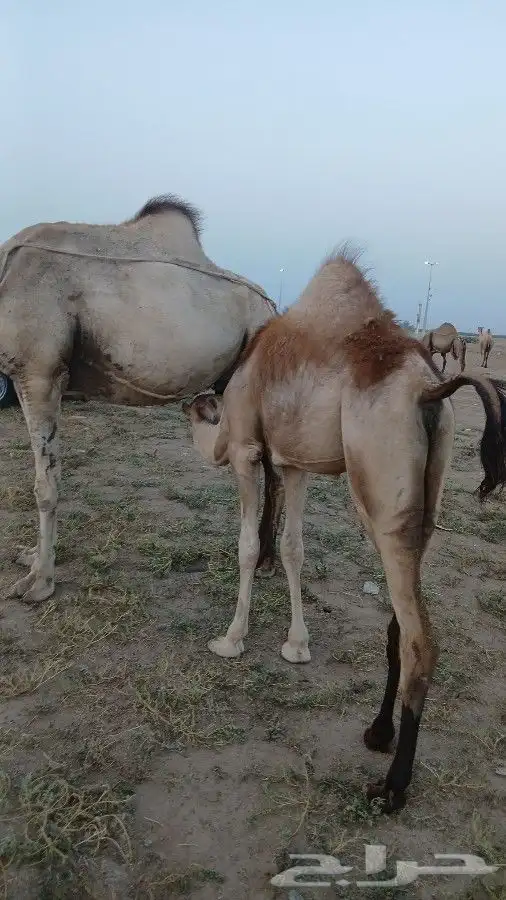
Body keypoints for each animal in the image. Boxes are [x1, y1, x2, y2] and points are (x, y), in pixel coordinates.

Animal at [0, 193, 282, 605]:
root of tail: (275, 309)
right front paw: (30, 557)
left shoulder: (39, 372)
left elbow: (44, 484)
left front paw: (39, 583)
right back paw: (264, 559)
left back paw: (266, 562)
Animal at [182, 248, 506, 814]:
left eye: (202, 408)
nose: (184, 403)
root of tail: (430, 389)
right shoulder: (294, 464)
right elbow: (292, 547)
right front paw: (296, 646)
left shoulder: (245, 447)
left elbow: (247, 545)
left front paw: (231, 639)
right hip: (424, 499)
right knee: (401, 615)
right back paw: (378, 732)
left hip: (378, 490)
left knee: (421, 639)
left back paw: (392, 787)